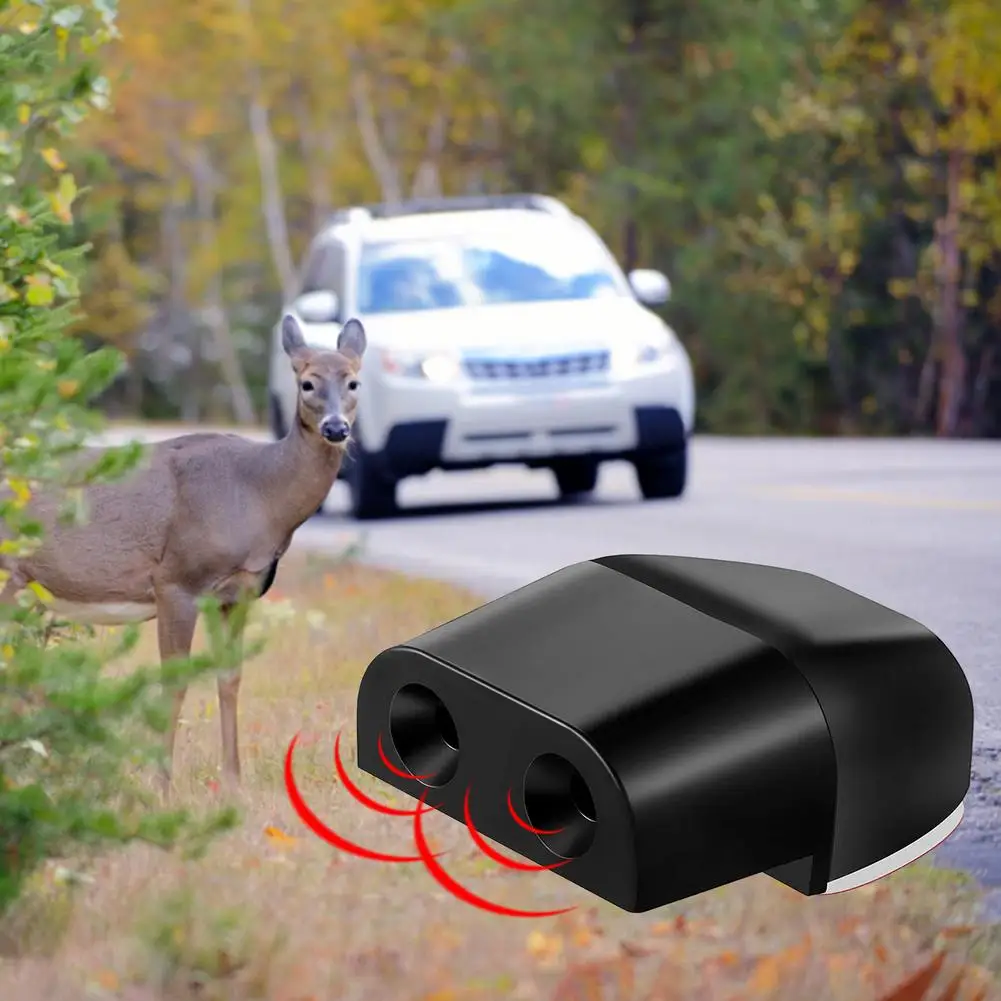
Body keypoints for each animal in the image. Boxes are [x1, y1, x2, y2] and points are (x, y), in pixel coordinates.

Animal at [0, 313, 366, 793]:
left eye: (354, 381)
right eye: (307, 383)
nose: (336, 428)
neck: (258, 493)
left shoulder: (239, 592)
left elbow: (230, 677)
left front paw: (233, 781)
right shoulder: (176, 580)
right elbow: (173, 682)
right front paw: (161, 784)